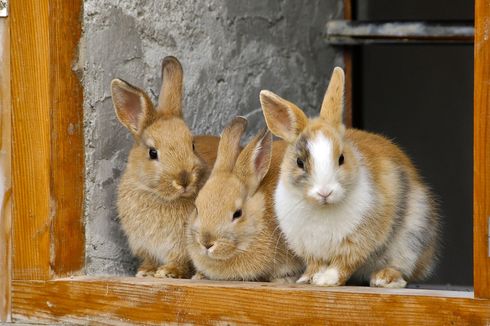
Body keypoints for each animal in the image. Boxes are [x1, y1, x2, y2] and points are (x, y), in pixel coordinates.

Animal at [112, 55, 219, 278]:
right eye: (153, 153)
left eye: (192, 145)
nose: (184, 179)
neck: (160, 197)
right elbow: (150, 259)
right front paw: (146, 272)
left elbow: (180, 260)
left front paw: (168, 272)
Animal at [260, 67, 440, 288]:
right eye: (299, 162)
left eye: (341, 158)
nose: (325, 192)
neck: (323, 208)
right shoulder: (309, 247)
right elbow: (315, 264)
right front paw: (307, 279)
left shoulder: (357, 241)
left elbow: (343, 263)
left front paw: (326, 280)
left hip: (411, 239)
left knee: (403, 270)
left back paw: (383, 278)